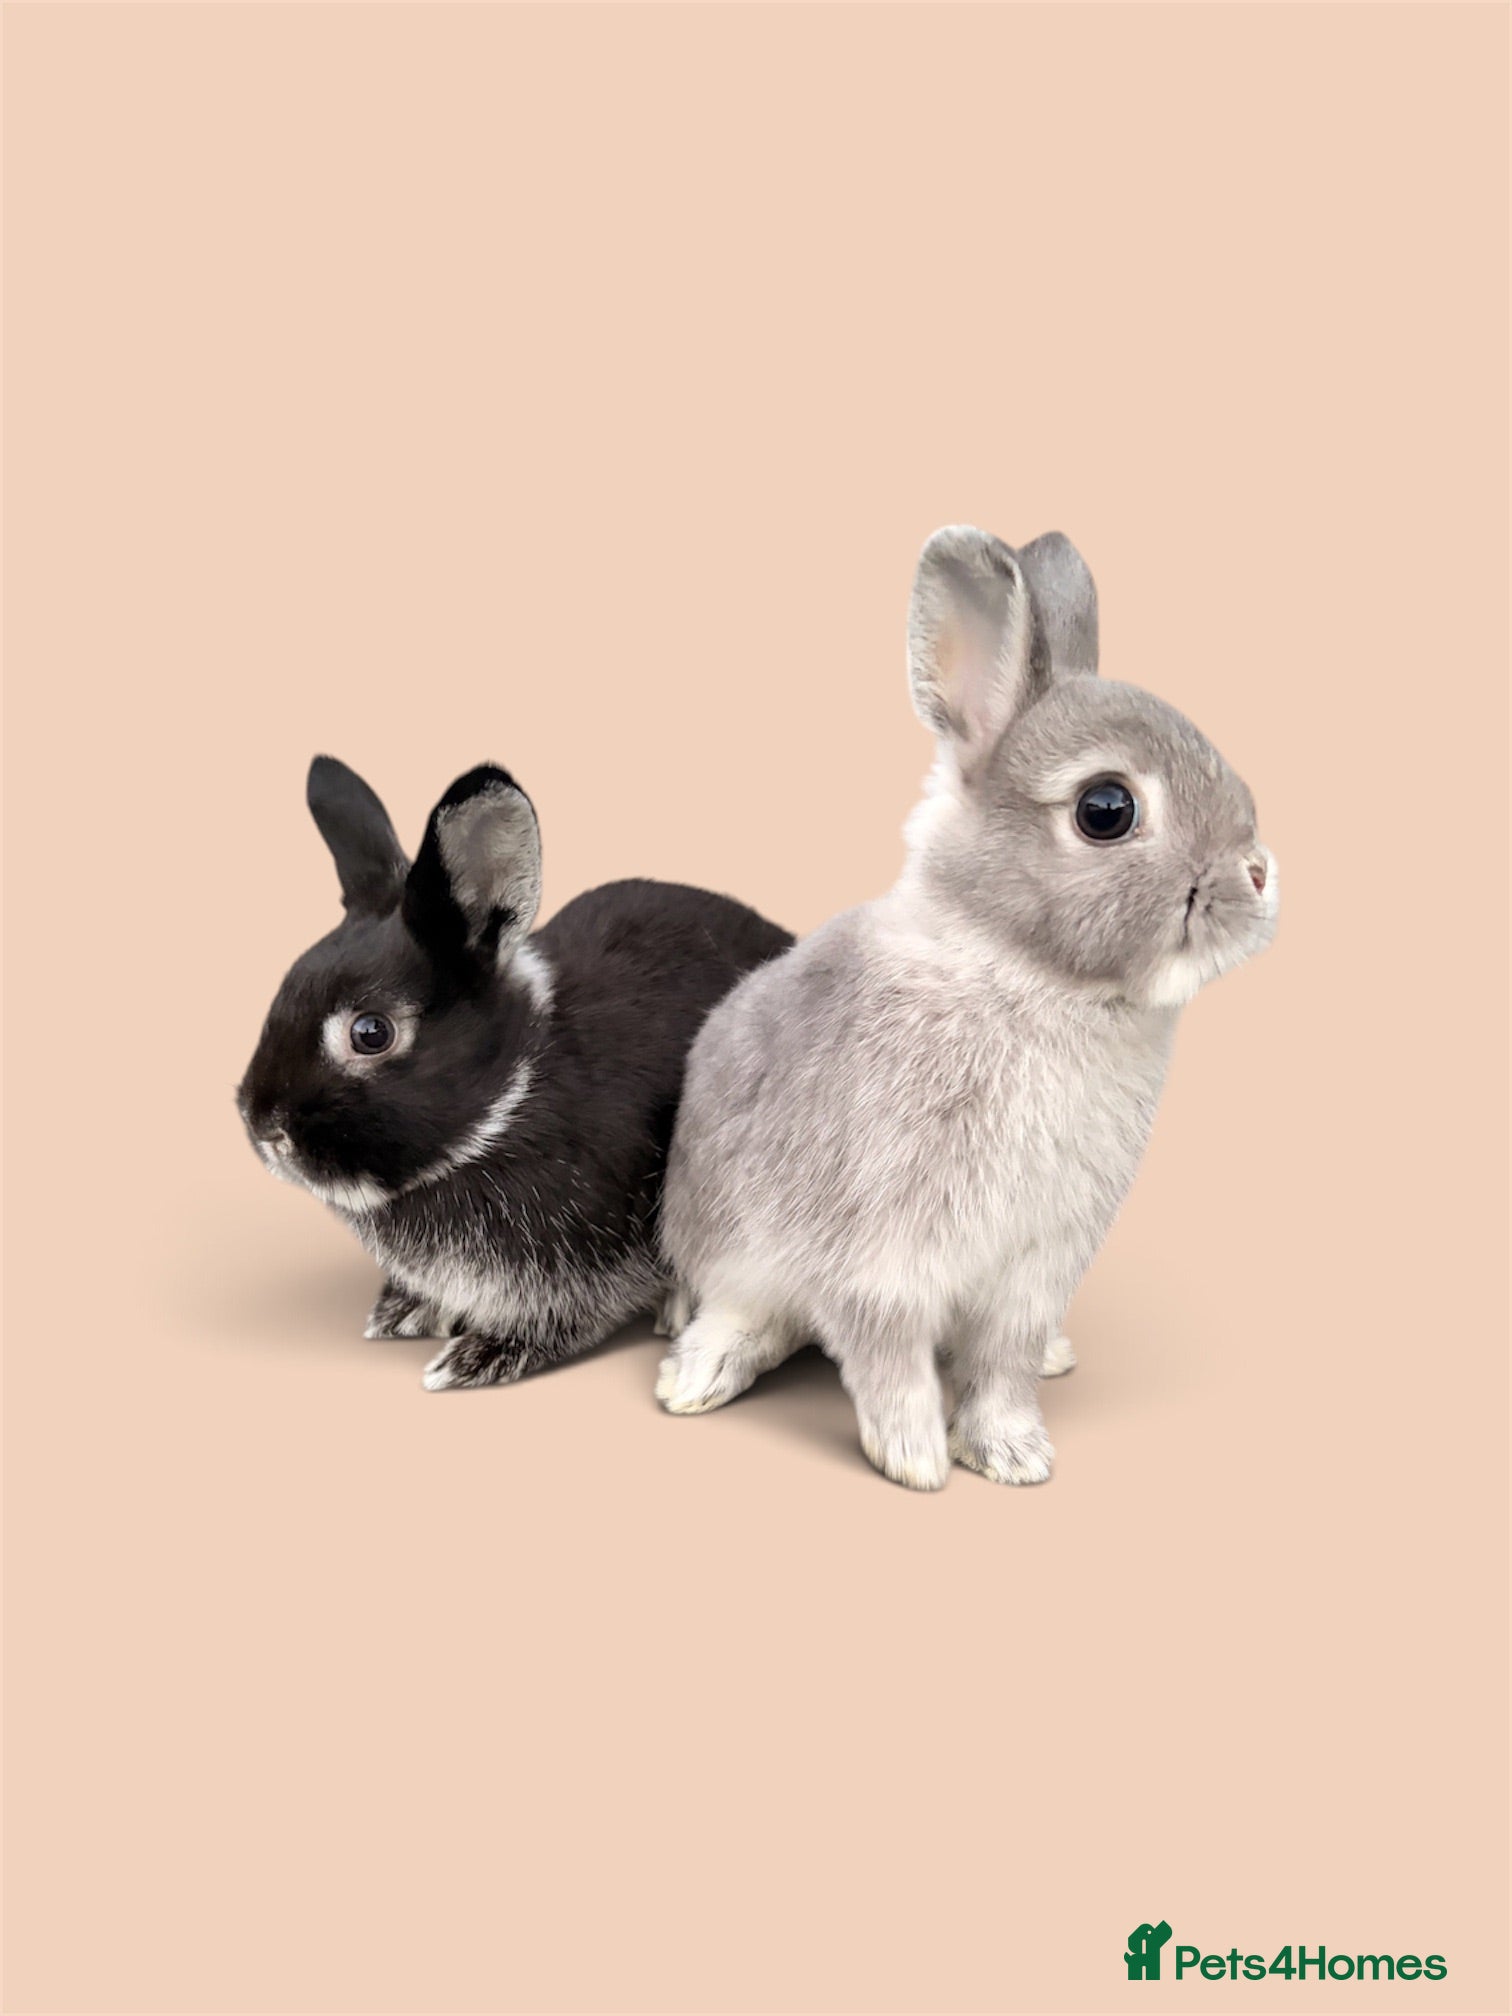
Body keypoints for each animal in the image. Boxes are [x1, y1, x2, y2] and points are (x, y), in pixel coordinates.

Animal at [237, 757, 792, 1388]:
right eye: (285, 987)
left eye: (371, 1033)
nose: (265, 1129)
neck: (510, 1100)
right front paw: (405, 1311)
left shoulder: (588, 1254)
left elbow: (568, 1315)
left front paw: (481, 1355)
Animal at [655, 526, 1278, 1489]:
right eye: (1107, 808)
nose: (1258, 874)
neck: (1029, 973)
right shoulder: (880, 1246)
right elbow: (887, 1353)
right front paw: (916, 1459)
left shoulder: (1037, 1266)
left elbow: (1004, 1363)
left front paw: (1014, 1453)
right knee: (746, 1312)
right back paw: (698, 1374)